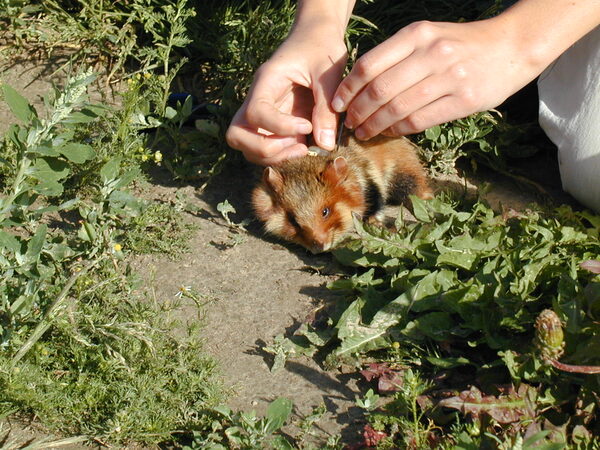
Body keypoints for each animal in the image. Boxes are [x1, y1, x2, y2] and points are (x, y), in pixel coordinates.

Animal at [252, 133, 432, 253]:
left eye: (325, 211)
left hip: (404, 175)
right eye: (292, 221)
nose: (320, 247)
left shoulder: (372, 186)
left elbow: (376, 205)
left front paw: (375, 225)